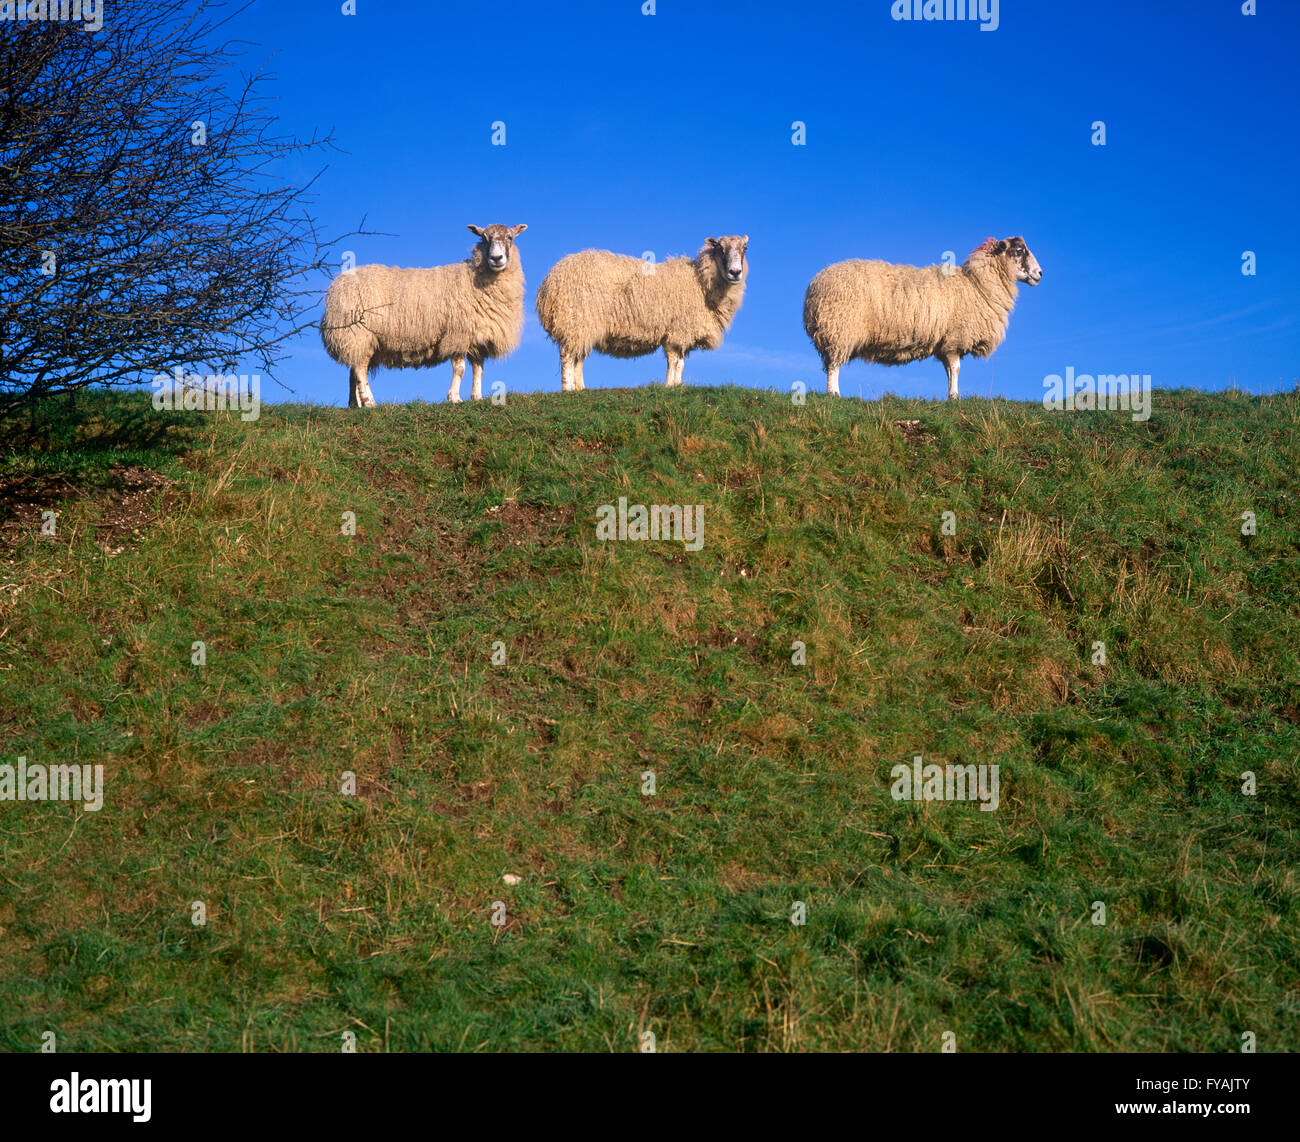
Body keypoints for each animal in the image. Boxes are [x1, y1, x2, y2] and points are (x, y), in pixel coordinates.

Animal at [321, 222, 527, 405]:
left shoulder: (478, 338)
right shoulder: (457, 334)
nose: (496, 258)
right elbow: (460, 369)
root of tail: (337, 284)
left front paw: (477, 397)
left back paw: (354, 405)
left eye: (510, 237)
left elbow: (479, 370)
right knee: (360, 369)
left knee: (353, 370)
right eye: (484, 239)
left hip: (356, 339)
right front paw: (454, 398)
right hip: (359, 334)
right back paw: (369, 402)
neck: (475, 278)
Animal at [530, 236, 754, 392]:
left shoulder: (681, 333)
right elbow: (674, 361)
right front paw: (669, 386)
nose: (735, 272)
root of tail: (549, 282)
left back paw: (580, 389)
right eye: (720, 248)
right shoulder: (676, 331)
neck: (701, 283)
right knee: (567, 357)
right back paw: (568, 389)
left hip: (583, 327)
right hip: (576, 319)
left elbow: (680, 363)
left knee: (578, 358)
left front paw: (677, 386)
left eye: (744, 249)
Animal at [800, 236, 1045, 403]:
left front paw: (950, 395)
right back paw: (834, 393)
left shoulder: (945, 343)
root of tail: (815, 284)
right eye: (1019, 250)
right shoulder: (955, 339)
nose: (1040, 273)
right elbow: (956, 369)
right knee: (833, 364)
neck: (977, 284)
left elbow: (949, 371)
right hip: (839, 329)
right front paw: (955, 397)